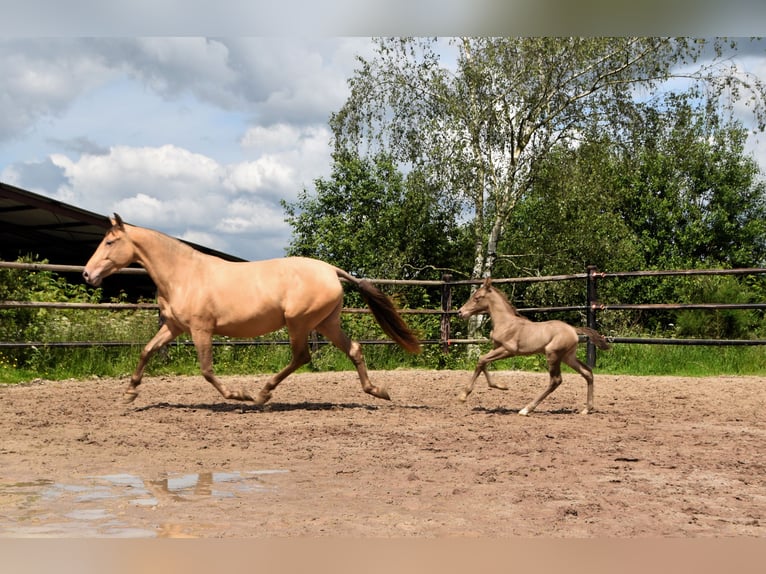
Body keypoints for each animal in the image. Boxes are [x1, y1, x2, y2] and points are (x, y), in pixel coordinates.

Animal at [83, 215, 420, 404]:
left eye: (110, 242)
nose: (87, 274)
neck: (183, 274)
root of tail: (331, 270)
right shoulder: (174, 327)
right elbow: (147, 351)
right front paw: (130, 393)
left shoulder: (201, 329)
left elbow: (206, 370)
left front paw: (238, 395)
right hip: (326, 323)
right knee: (354, 349)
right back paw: (377, 390)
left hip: (299, 323)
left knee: (302, 357)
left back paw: (262, 394)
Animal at [456, 278, 612, 416]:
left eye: (477, 298)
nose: (460, 312)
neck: (506, 322)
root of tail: (573, 329)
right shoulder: (496, 347)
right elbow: (482, 362)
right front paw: (501, 386)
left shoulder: (508, 350)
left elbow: (482, 359)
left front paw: (463, 395)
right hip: (568, 357)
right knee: (587, 372)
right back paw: (586, 409)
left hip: (552, 354)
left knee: (556, 380)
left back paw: (526, 409)